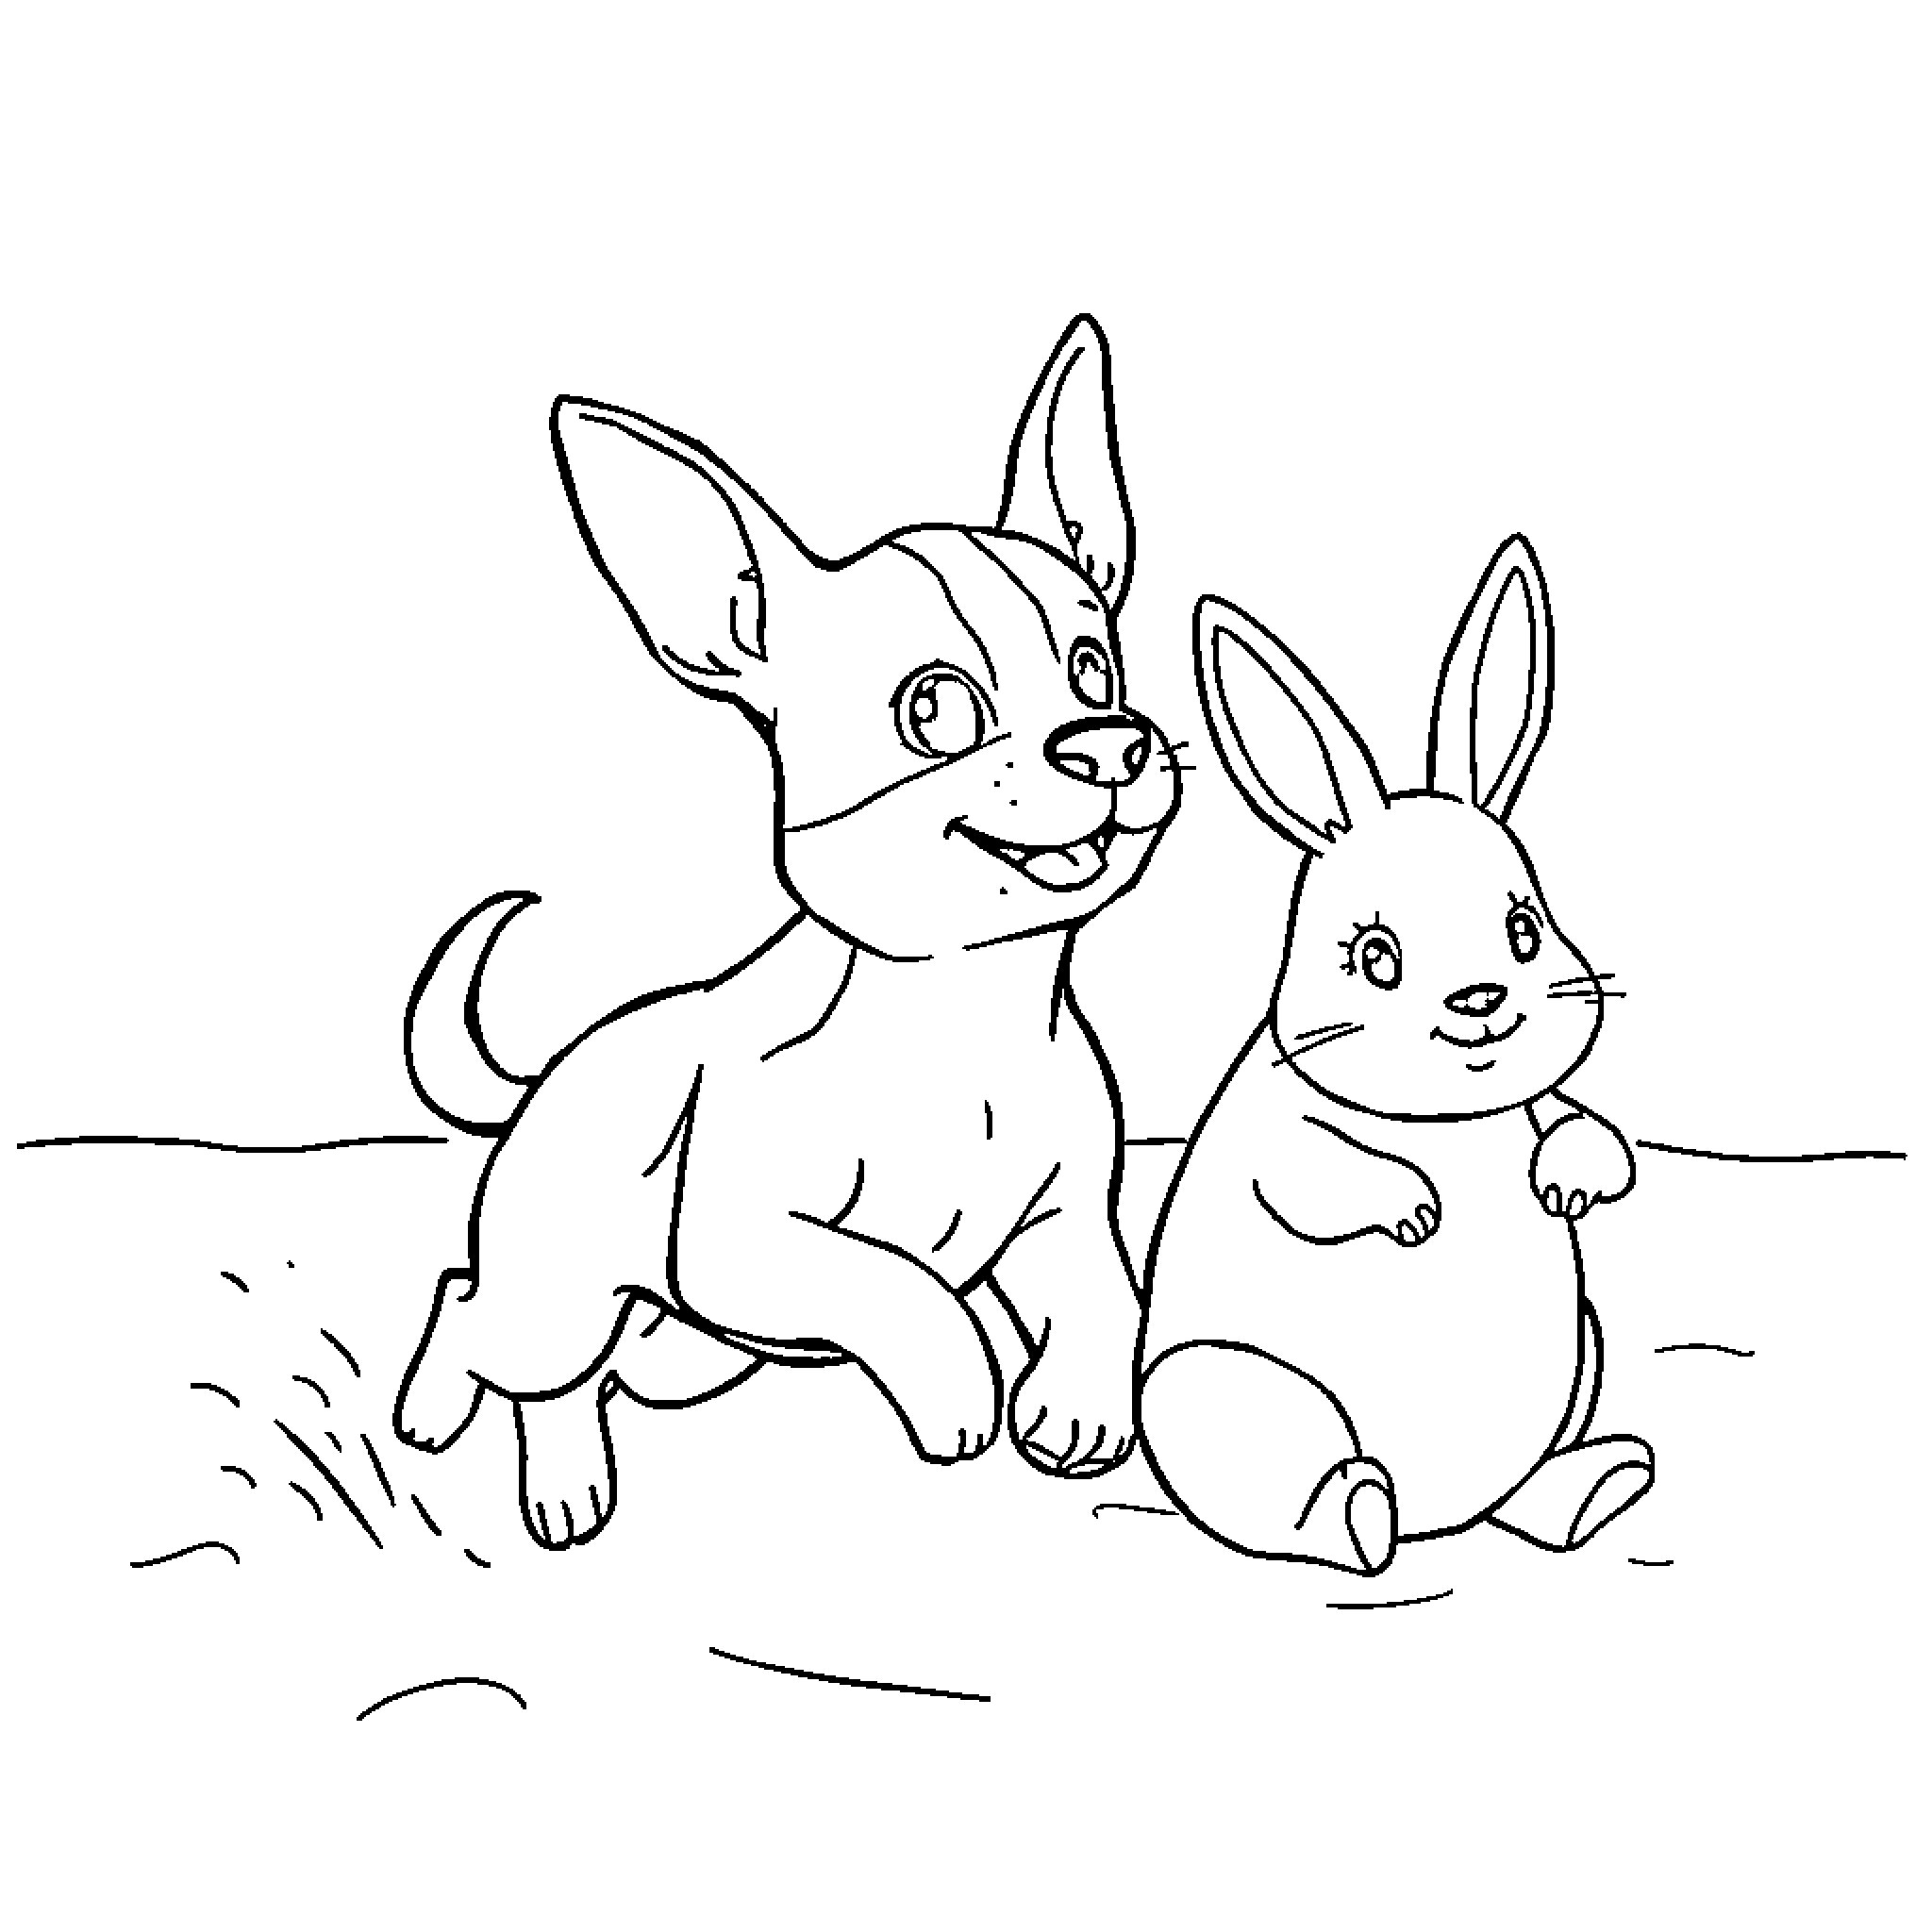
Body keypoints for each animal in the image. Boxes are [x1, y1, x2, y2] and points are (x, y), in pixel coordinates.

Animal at [1137, 536, 1650, 1576]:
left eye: (1523, 930)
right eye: (1375, 957)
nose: (1480, 1002)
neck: (1440, 1120)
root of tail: (1436, 1517)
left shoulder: (1529, 1106)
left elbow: (1584, 1128)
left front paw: (1564, 1184)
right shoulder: (1275, 1132)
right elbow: (1310, 1170)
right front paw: (1416, 1210)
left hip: (1583, 1346)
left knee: (1524, 1490)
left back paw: (1594, 1487)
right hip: (1219, 1390)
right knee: (1309, 1494)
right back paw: (1360, 1513)